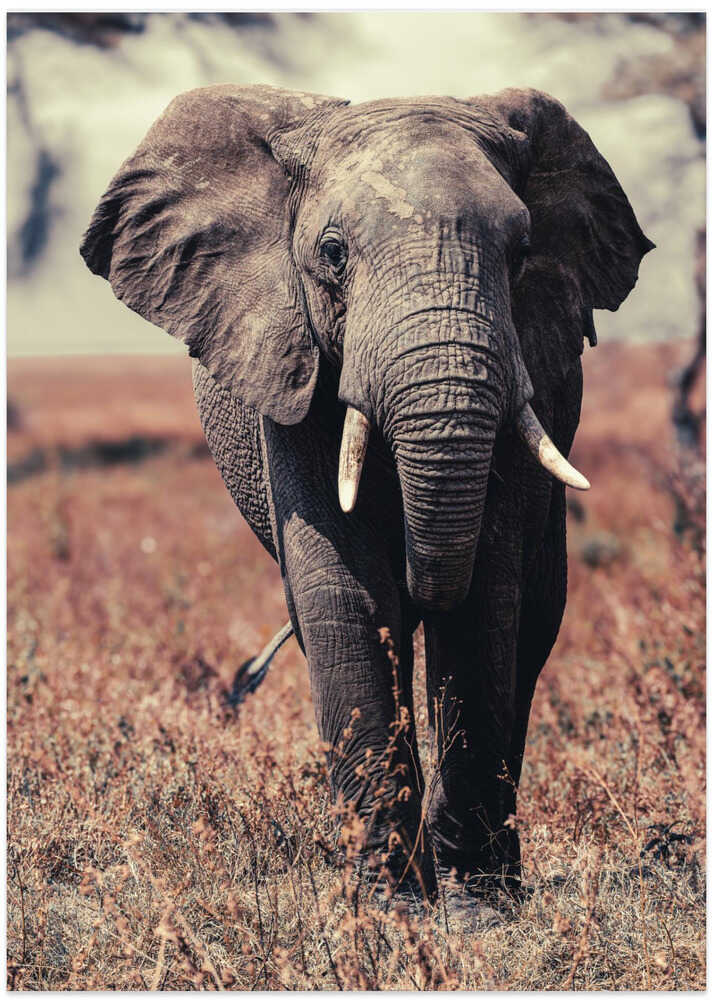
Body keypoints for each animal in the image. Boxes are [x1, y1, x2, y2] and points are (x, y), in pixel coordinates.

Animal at [80, 84, 652, 911]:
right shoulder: (290, 373)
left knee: (537, 619)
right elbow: (346, 597)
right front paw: (392, 915)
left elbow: (484, 600)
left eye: (520, 253)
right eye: (332, 253)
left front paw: (476, 913)